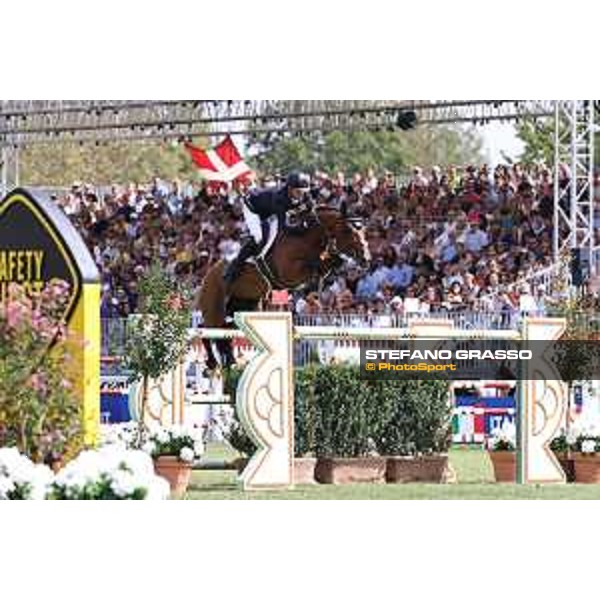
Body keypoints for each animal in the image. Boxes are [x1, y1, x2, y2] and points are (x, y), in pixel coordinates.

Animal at [197, 204, 368, 368]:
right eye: (348, 230)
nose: (366, 259)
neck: (304, 239)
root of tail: (207, 276)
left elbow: (329, 263)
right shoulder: (290, 273)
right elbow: (315, 265)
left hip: (244, 305)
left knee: (225, 333)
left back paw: (231, 363)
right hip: (214, 307)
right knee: (205, 329)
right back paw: (212, 362)